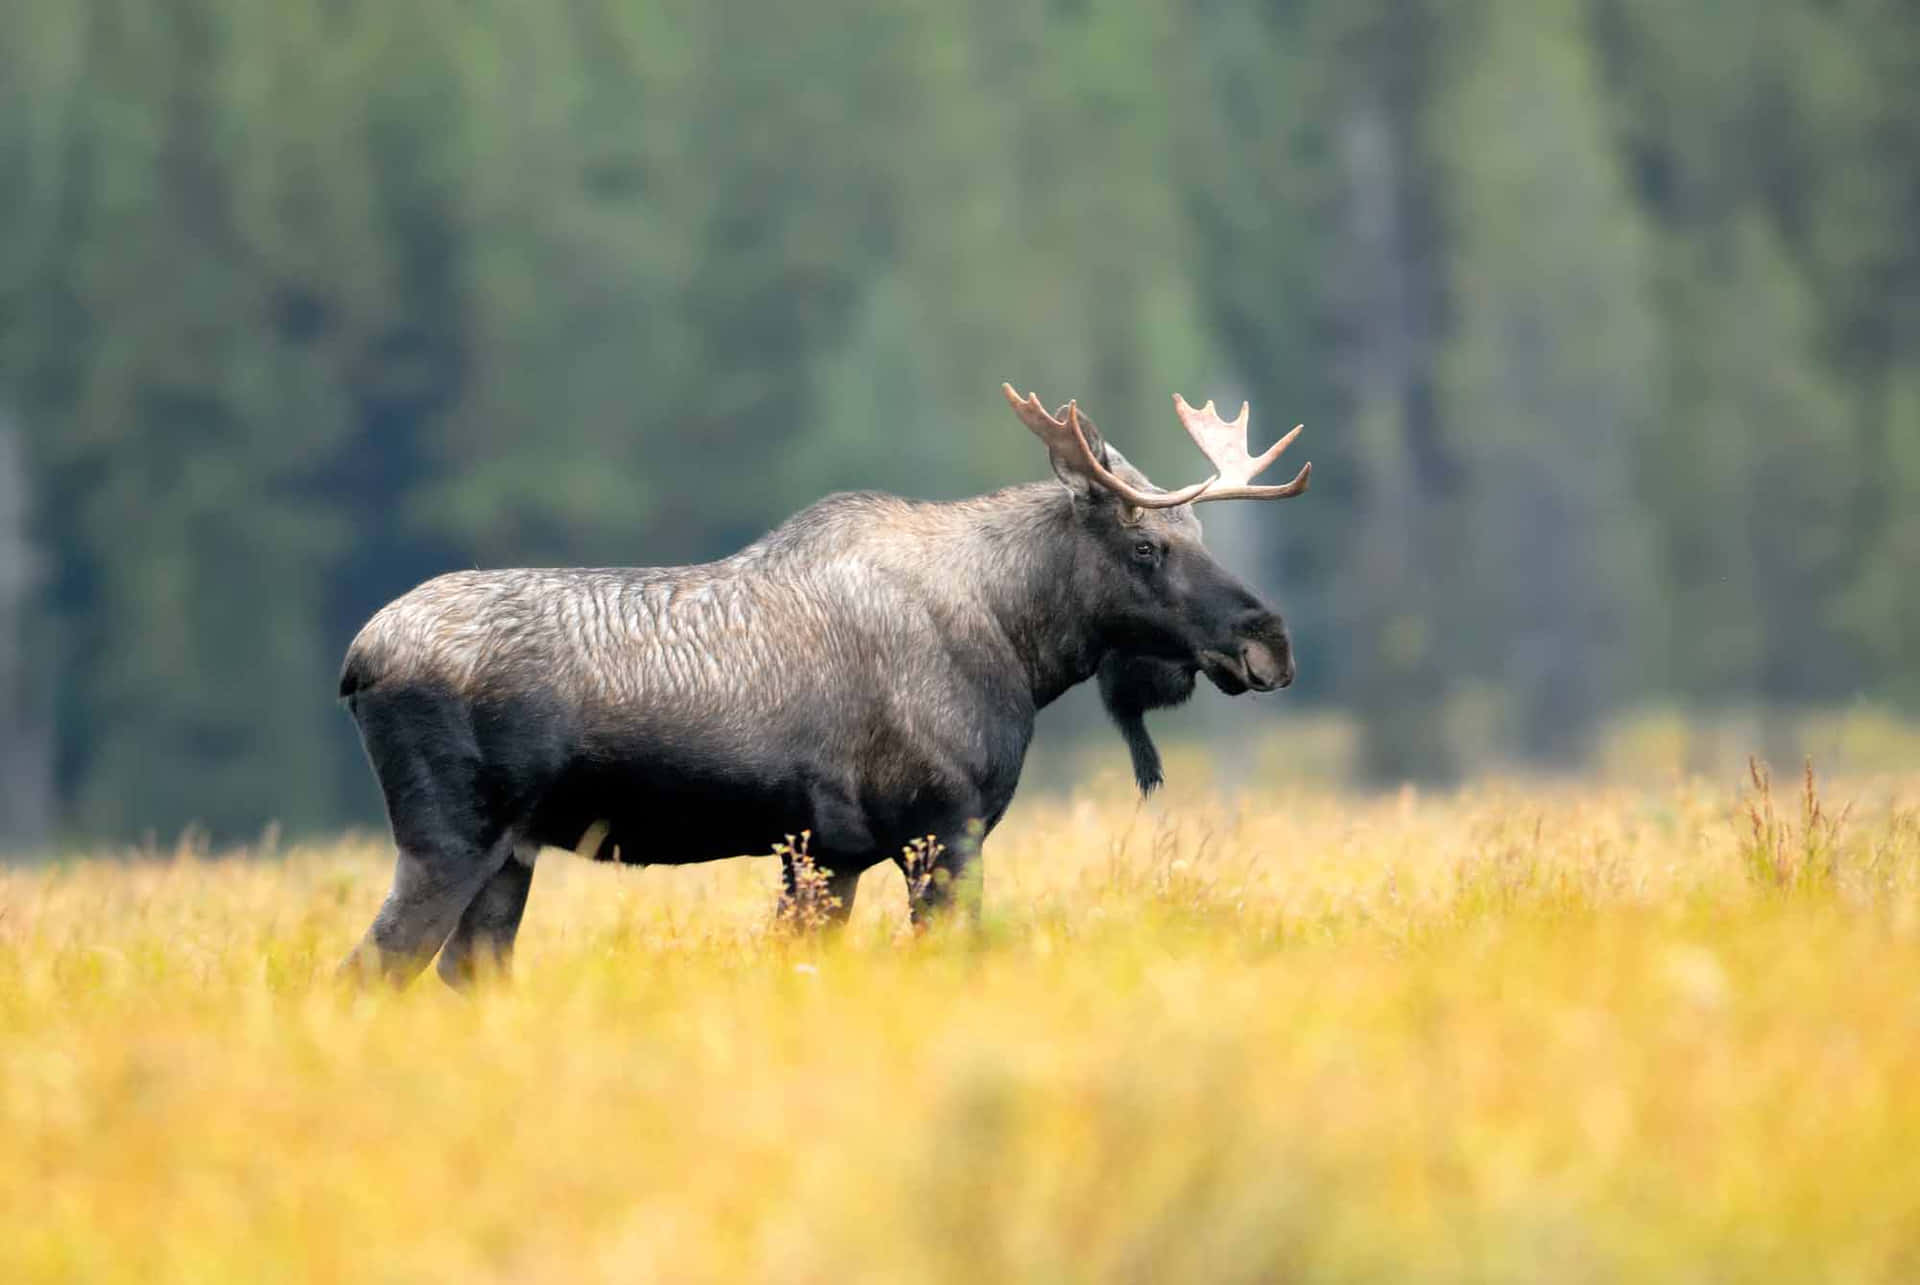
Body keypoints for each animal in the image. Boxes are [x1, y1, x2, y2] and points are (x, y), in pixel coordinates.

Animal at [341, 380, 1305, 983]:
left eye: (1203, 538)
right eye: (1146, 545)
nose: (1270, 643)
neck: (1018, 643)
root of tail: (356, 662)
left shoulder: (826, 855)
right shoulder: (941, 829)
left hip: (514, 852)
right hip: (448, 840)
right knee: (369, 971)